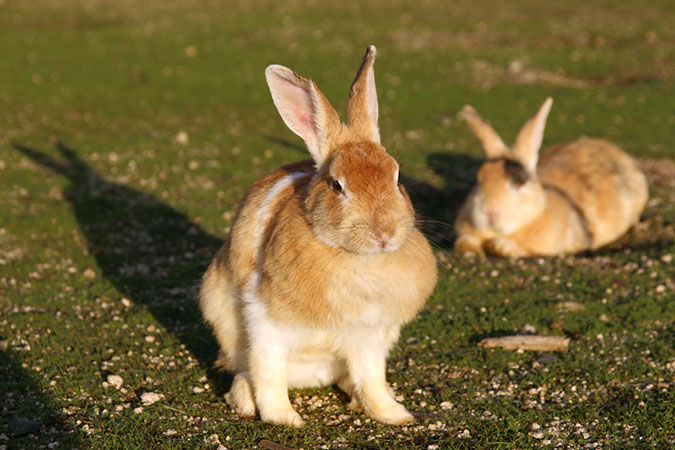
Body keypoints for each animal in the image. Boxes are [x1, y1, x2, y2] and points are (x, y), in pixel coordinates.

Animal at [199, 46, 437, 427]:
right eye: (337, 185)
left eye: (397, 178)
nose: (384, 234)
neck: (352, 256)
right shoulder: (266, 322)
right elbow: (268, 373)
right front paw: (284, 418)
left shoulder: (369, 335)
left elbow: (373, 377)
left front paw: (395, 415)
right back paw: (246, 401)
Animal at [454, 97, 648, 258]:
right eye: (479, 179)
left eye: (521, 182)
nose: (490, 213)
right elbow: (463, 242)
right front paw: (472, 246)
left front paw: (500, 246)